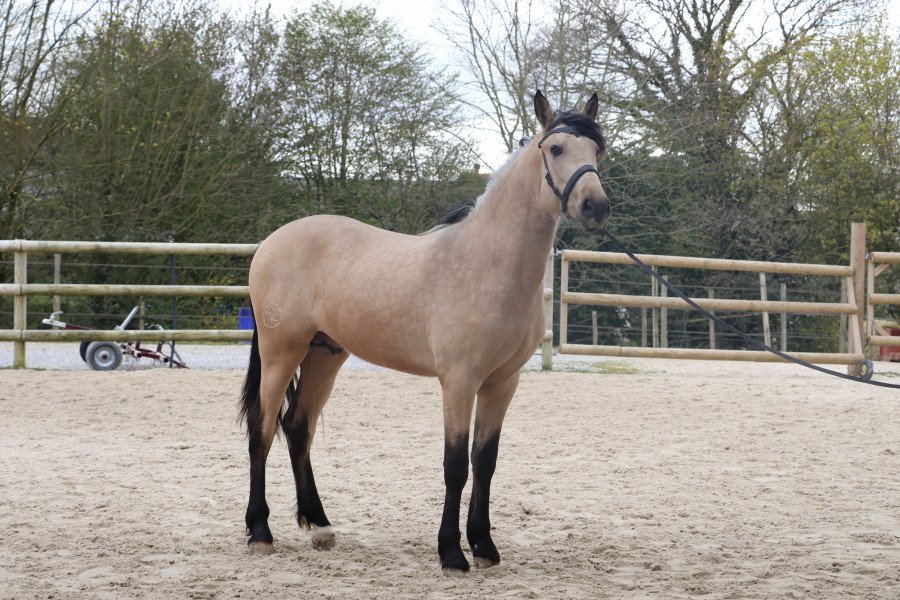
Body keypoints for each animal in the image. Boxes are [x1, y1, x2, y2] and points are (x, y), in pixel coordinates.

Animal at [239, 91, 610, 574]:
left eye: (598, 151)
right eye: (557, 148)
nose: (595, 207)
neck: (487, 265)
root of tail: (271, 243)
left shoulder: (502, 383)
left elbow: (484, 461)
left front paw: (484, 546)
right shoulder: (459, 381)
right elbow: (455, 465)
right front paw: (452, 552)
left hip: (324, 354)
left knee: (298, 427)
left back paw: (319, 525)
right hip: (282, 352)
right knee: (262, 429)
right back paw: (260, 532)